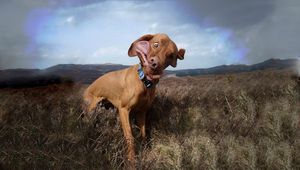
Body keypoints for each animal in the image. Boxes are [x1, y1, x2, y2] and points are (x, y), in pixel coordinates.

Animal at [82, 33, 185, 167]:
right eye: (155, 44)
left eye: (171, 55)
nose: (154, 64)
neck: (144, 82)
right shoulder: (124, 110)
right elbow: (130, 138)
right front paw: (131, 161)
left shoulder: (142, 112)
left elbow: (143, 134)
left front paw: (145, 150)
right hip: (91, 109)